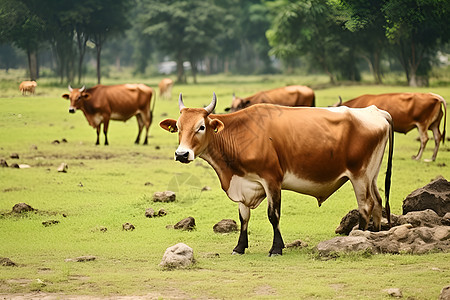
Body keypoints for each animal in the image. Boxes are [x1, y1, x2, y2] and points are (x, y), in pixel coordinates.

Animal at [161, 93, 394, 255]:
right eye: (178, 127)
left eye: (201, 127)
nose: (181, 154)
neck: (240, 133)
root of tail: (375, 111)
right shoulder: (243, 183)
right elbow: (244, 217)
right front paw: (240, 247)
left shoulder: (272, 180)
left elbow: (273, 215)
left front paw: (276, 248)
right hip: (371, 175)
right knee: (378, 202)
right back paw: (374, 235)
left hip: (360, 176)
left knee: (366, 206)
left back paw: (359, 237)